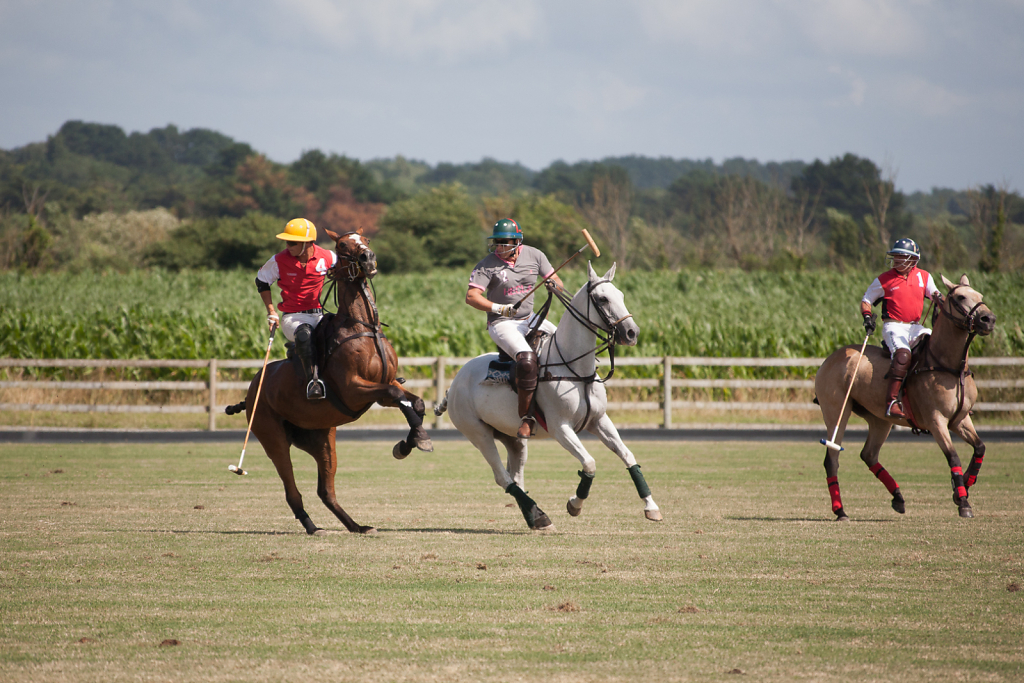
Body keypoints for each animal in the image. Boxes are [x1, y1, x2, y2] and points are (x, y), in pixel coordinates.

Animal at [224, 232, 432, 536]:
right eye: (343, 245)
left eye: (365, 238)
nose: (368, 258)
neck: (364, 327)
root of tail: (252, 391)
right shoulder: (354, 389)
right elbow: (397, 394)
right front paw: (414, 442)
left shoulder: (382, 389)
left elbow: (414, 402)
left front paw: (412, 441)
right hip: (272, 436)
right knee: (291, 488)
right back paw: (312, 527)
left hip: (321, 437)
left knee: (326, 490)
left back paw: (357, 526)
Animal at [434, 264, 663, 532]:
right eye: (602, 299)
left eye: (621, 295)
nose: (631, 332)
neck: (576, 369)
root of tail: (454, 384)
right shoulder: (560, 427)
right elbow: (589, 463)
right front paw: (575, 504)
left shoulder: (599, 421)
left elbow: (628, 456)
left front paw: (651, 507)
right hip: (477, 433)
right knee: (502, 477)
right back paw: (541, 516)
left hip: (513, 438)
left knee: (516, 477)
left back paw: (535, 517)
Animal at [811, 274, 995, 520]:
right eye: (960, 297)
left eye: (980, 295)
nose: (988, 319)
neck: (948, 365)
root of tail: (831, 357)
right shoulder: (936, 420)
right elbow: (953, 456)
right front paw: (963, 501)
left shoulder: (960, 419)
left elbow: (980, 447)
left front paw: (962, 487)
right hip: (836, 410)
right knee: (832, 458)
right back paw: (840, 510)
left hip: (879, 419)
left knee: (869, 454)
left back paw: (898, 497)